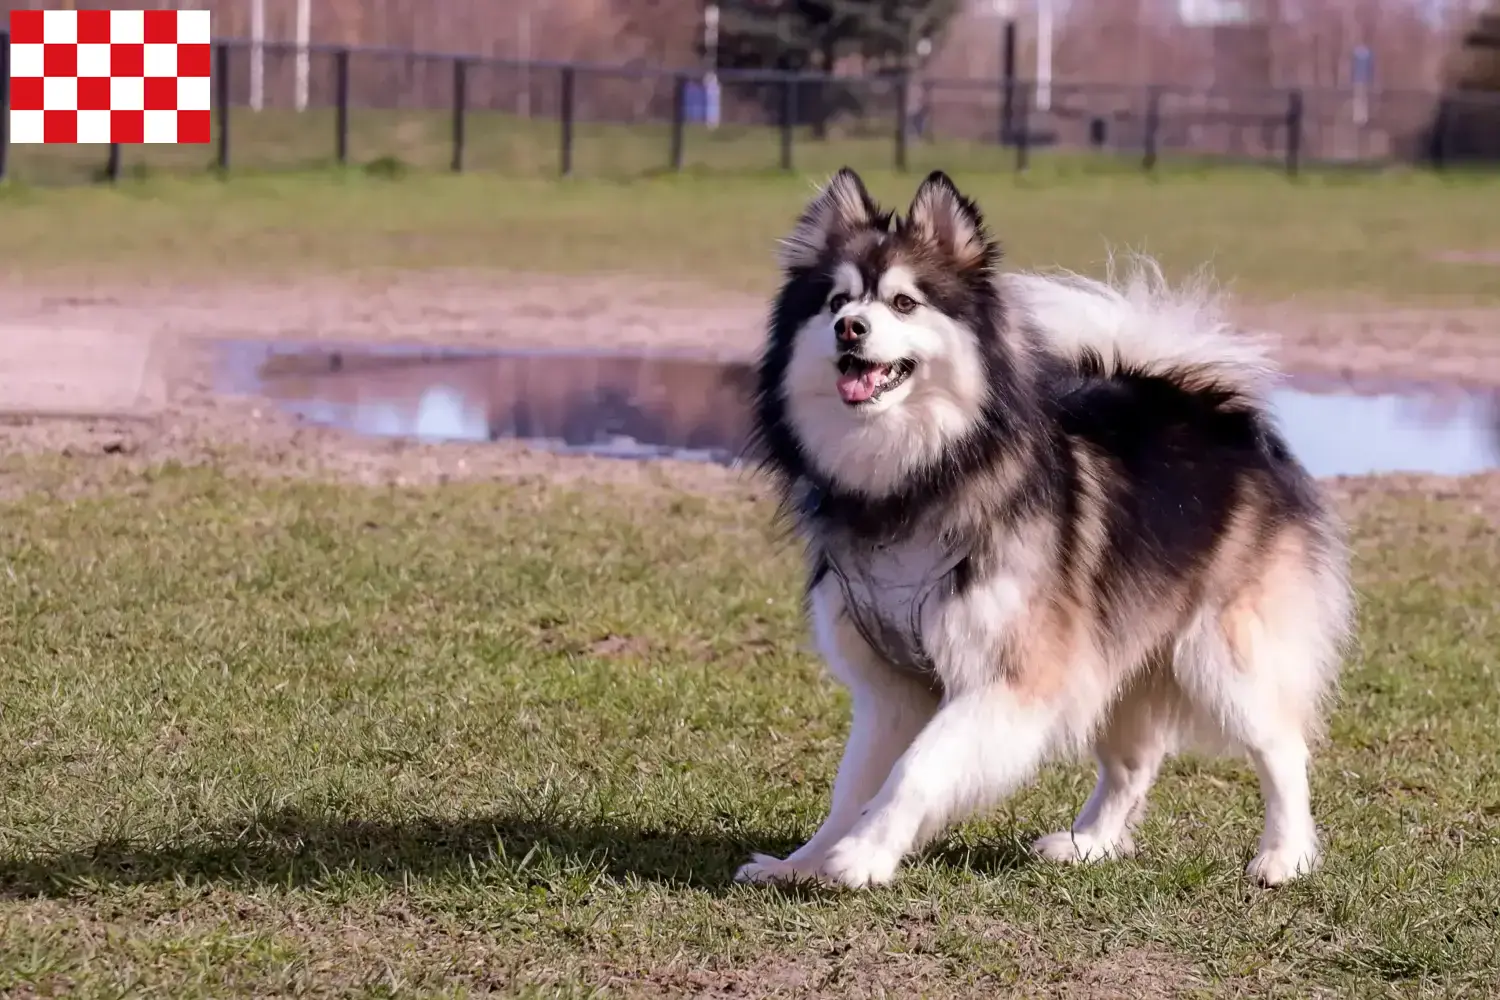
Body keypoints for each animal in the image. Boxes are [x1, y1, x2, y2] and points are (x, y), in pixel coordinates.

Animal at [732, 166, 1356, 893]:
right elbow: (853, 783)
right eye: (836, 300)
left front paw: (862, 855)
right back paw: (1089, 843)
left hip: (1224, 655)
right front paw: (803, 862)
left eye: (905, 303)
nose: (849, 329)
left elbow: (917, 769)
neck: (917, 483)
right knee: (1133, 763)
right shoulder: (891, 688)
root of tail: (1211, 406)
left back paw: (1284, 855)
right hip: (1122, 648)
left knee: (1281, 747)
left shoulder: (1009, 678)